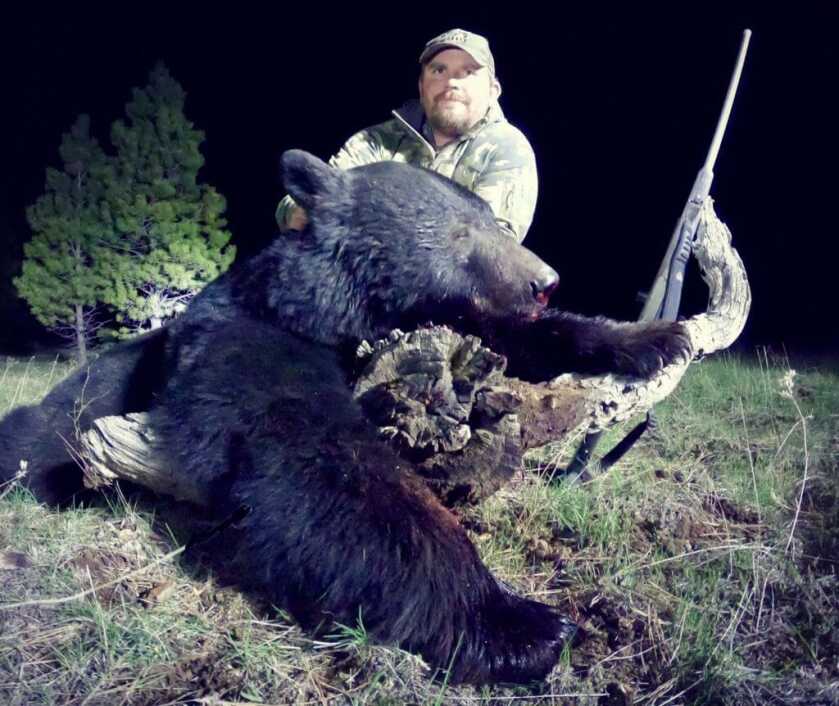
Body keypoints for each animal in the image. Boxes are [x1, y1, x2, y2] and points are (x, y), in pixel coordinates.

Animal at [0, 150, 690, 684]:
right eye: (462, 232)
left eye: (496, 221)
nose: (544, 280)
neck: (334, 311)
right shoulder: (256, 347)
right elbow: (333, 475)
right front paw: (518, 624)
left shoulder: (439, 319)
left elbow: (516, 335)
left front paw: (652, 337)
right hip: (71, 416)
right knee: (35, 440)